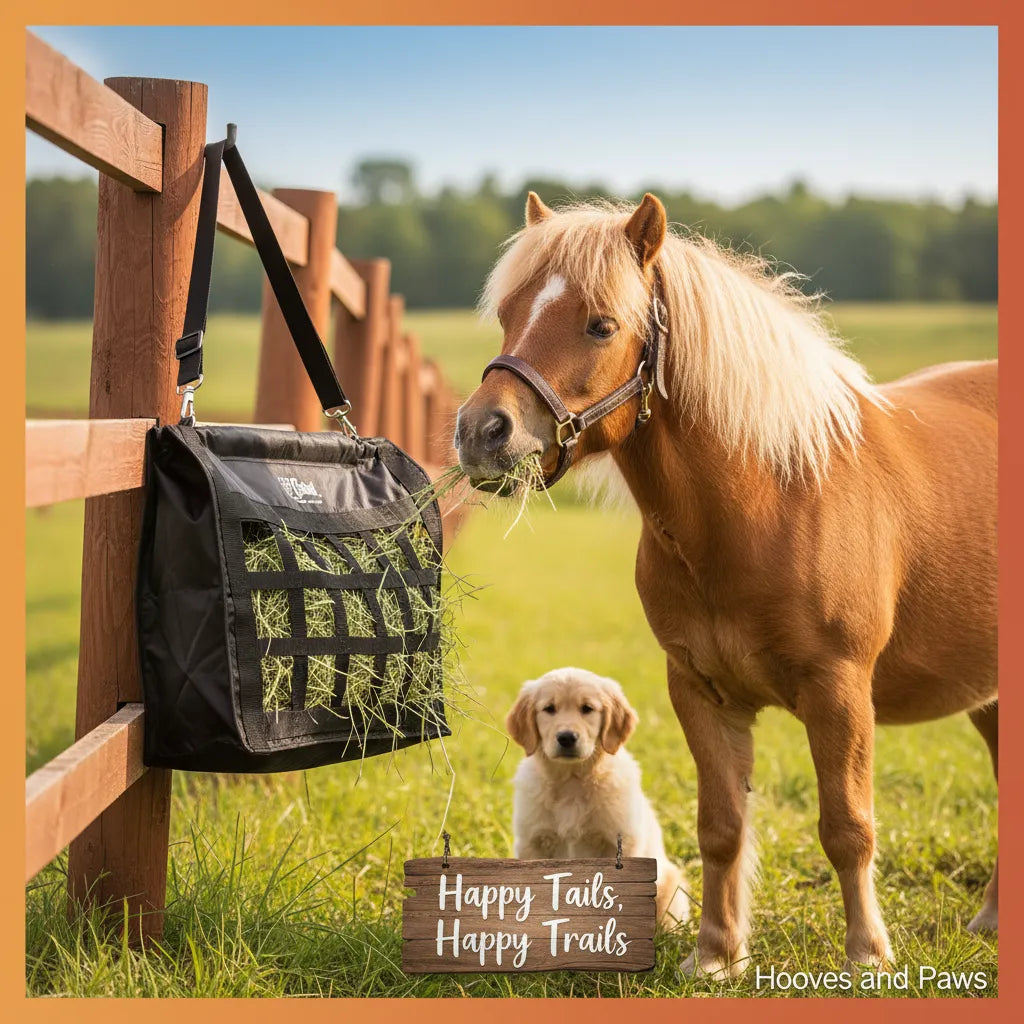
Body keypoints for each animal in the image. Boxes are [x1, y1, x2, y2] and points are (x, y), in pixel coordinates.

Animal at [454, 191, 998, 977]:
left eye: (600, 324)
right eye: (508, 313)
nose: (481, 433)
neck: (768, 502)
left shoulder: (840, 693)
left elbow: (847, 827)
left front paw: (866, 956)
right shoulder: (700, 692)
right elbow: (721, 826)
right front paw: (715, 954)